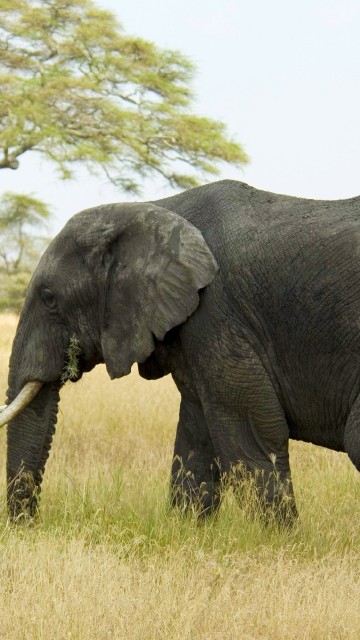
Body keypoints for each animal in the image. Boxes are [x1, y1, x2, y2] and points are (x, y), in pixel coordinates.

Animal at [0, 176, 360, 524]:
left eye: (49, 298)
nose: (28, 526)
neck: (153, 209)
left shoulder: (217, 312)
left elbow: (252, 432)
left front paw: (278, 537)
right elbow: (196, 434)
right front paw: (188, 528)